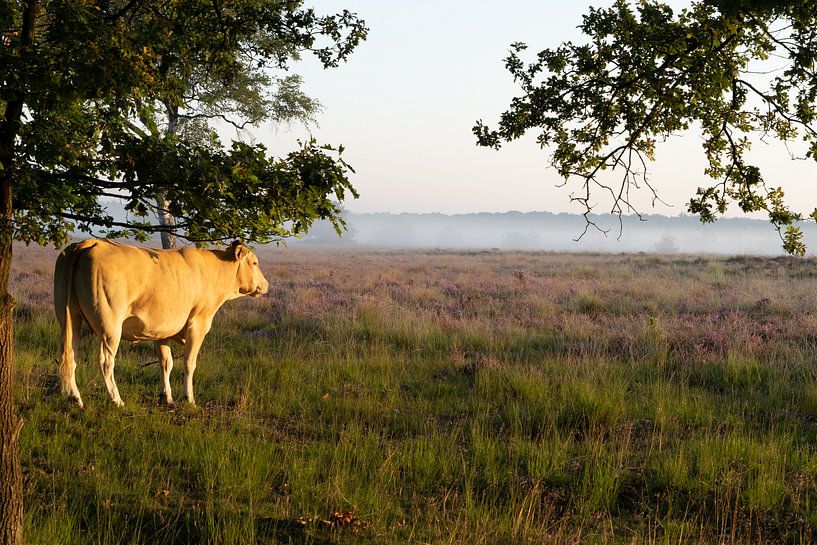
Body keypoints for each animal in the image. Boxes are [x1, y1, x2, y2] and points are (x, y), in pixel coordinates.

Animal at [55, 239, 270, 408]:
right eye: (254, 262)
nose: (266, 285)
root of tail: (89, 243)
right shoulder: (198, 324)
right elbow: (189, 362)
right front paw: (189, 398)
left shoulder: (160, 329)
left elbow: (166, 362)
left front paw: (166, 396)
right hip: (110, 325)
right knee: (106, 362)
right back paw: (116, 400)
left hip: (69, 318)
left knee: (70, 355)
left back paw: (74, 398)